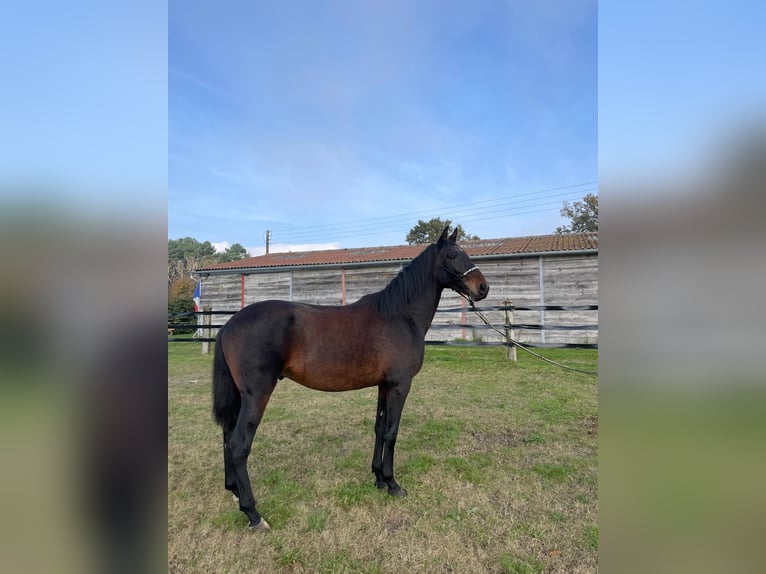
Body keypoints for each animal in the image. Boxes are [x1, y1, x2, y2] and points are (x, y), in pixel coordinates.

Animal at [213, 227, 488, 532]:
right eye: (452, 255)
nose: (482, 288)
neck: (400, 316)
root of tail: (229, 324)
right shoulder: (400, 386)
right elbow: (392, 432)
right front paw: (393, 484)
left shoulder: (384, 386)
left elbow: (379, 429)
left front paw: (378, 478)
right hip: (256, 395)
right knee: (239, 445)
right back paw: (253, 513)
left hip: (241, 397)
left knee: (227, 436)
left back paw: (234, 490)